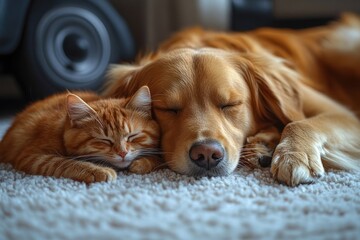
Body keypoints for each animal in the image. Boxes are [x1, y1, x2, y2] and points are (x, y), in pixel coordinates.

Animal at [0, 85, 161, 183]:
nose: (123, 153)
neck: (60, 131)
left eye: (132, 136)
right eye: (104, 140)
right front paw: (98, 170)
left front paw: (142, 163)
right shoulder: (31, 157)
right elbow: (64, 162)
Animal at [102, 13, 360, 186]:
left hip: (338, 46)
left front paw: (294, 155)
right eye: (169, 109)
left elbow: (298, 122)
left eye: (230, 104)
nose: (206, 154)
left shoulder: (343, 113)